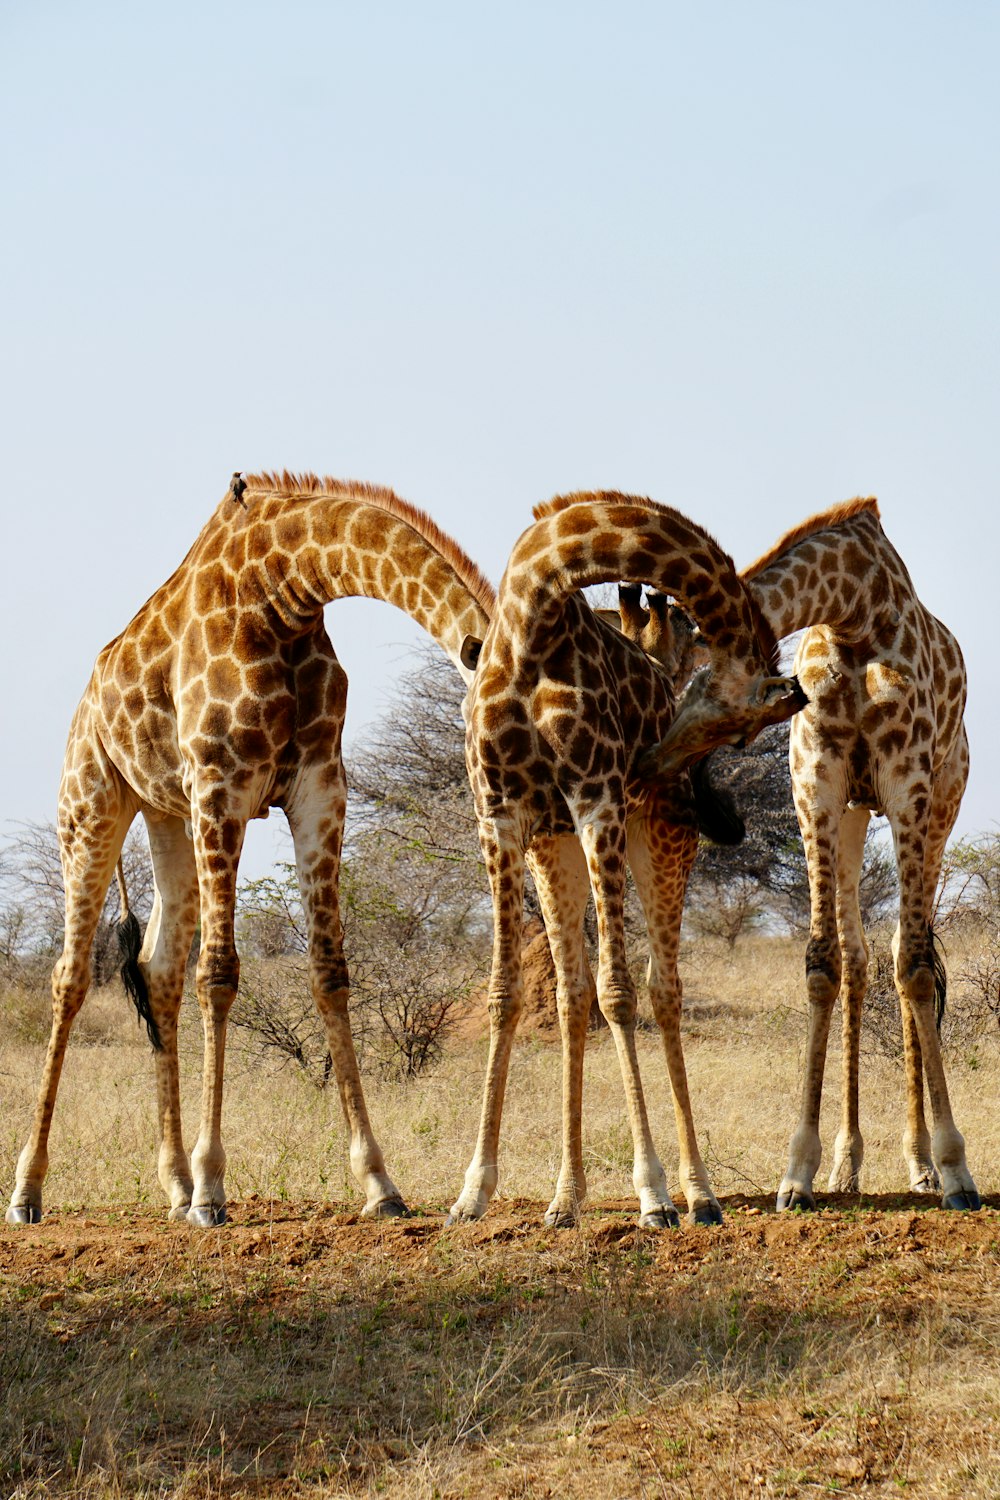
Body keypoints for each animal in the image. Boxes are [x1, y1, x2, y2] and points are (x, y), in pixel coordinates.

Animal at [3, 471, 497, 1230]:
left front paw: (379, 1183)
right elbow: (221, 971)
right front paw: (214, 1189)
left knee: (158, 968)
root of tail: (87, 704)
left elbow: (328, 971)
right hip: (90, 806)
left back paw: (173, 1185)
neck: (286, 589)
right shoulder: (222, 786)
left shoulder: (320, 785)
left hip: (166, 815)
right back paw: (30, 1192)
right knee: (70, 976)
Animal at [449, 492, 809, 1230]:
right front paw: (472, 1192)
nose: (652, 768)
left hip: (658, 842)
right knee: (569, 994)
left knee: (663, 990)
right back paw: (566, 1198)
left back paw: (699, 1193)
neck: (531, 621)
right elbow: (507, 991)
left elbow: (619, 991)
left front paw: (654, 1193)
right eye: (746, 719)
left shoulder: (597, 802)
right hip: (555, 844)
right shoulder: (500, 815)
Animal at [740, 498, 983, 1212]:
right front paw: (798, 1172)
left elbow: (918, 966)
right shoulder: (815, 782)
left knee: (912, 953)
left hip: (945, 798)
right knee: (859, 960)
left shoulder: (908, 783)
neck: (852, 616)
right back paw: (848, 1165)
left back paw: (923, 1165)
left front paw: (956, 1169)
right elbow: (823, 963)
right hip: (852, 815)